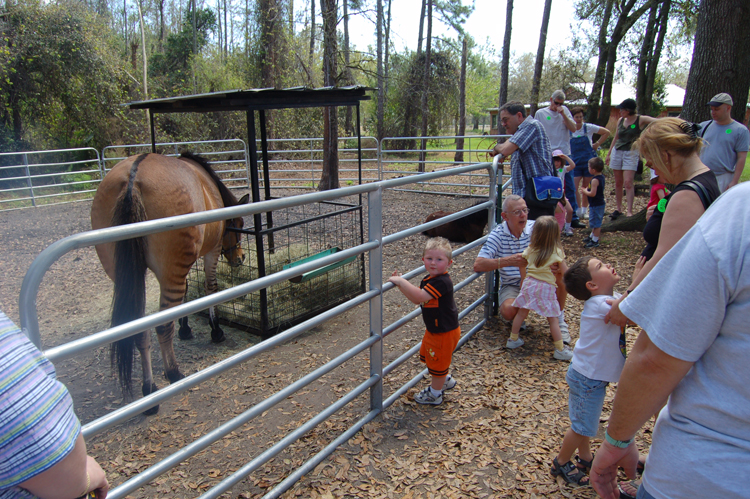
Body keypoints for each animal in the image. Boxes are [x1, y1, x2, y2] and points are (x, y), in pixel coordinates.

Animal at [90, 151, 250, 414]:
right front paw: (215, 330)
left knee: (141, 329)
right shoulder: (211, 252)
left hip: (128, 275)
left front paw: (185, 329)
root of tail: (133, 178)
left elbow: (184, 297)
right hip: (171, 270)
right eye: (237, 224)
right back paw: (172, 373)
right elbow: (210, 289)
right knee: (163, 326)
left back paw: (149, 389)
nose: (240, 258)